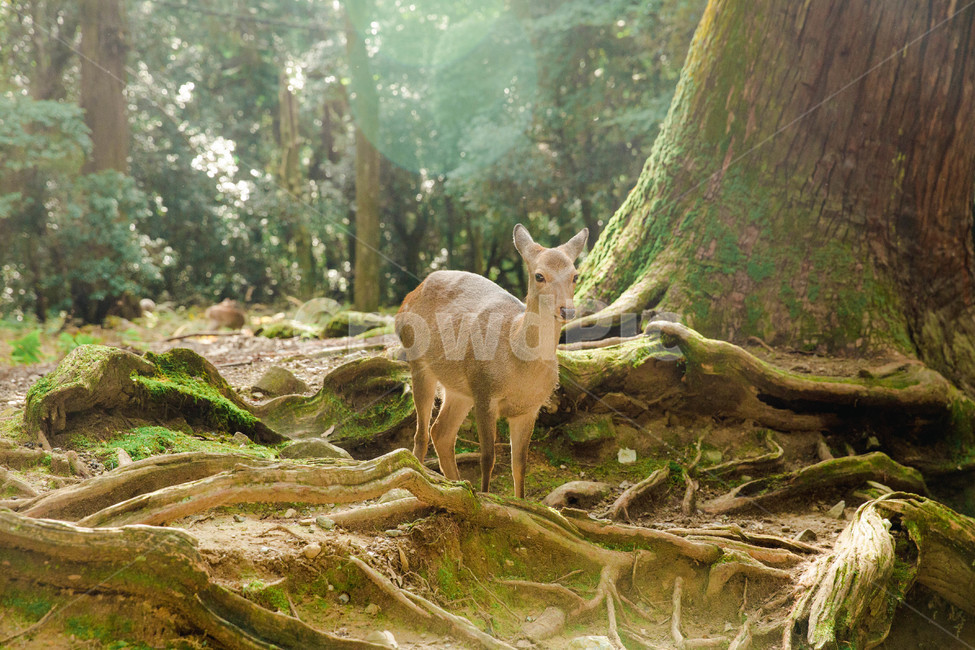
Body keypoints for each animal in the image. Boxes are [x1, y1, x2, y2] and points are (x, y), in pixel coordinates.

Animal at [395, 224, 588, 498]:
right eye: (539, 275)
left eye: (575, 275)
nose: (567, 310)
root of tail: (407, 298)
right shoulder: (486, 393)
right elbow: (488, 457)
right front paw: (486, 496)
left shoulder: (530, 408)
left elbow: (520, 463)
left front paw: (521, 502)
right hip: (420, 362)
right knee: (421, 433)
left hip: (461, 389)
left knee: (441, 432)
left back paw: (457, 484)